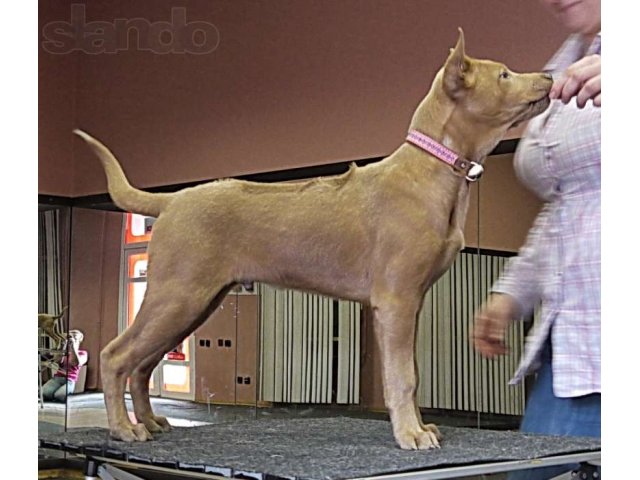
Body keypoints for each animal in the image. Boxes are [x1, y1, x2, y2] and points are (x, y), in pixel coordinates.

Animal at [74, 31, 552, 450]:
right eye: (504, 74)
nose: (549, 76)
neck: (433, 170)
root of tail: (170, 199)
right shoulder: (396, 301)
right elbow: (405, 376)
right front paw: (411, 435)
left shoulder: (407, 303)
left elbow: (409, 373)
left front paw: (418, 427)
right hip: (178, 294)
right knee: (117, 355)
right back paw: (124, 428)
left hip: (193, 302)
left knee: (141, 364)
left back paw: (150, 421)